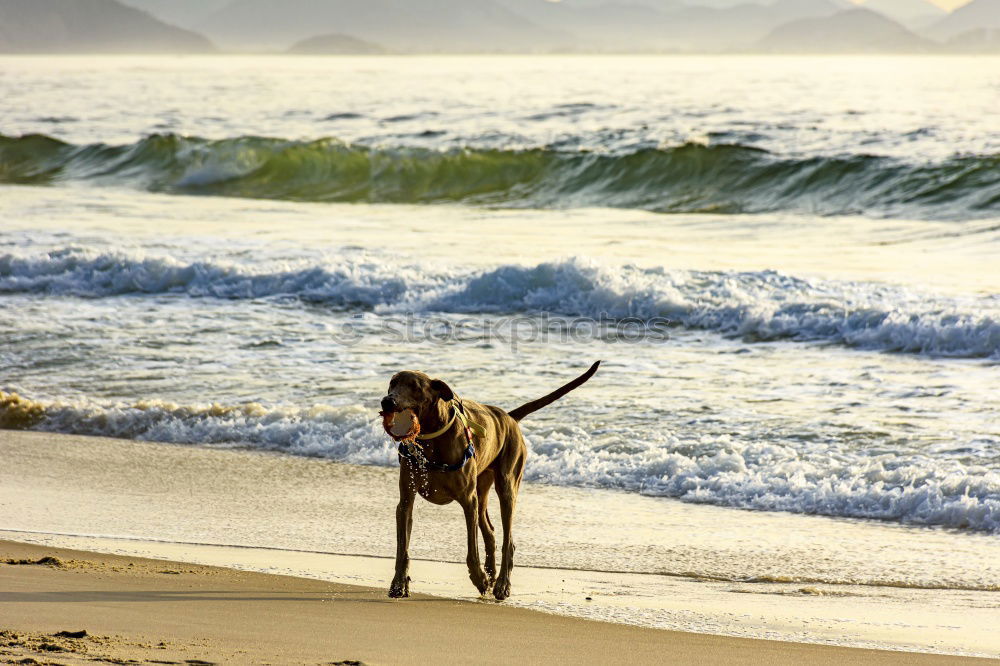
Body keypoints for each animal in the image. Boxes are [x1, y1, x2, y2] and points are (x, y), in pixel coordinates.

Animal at [380, 360, 600, 600]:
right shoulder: (406, 500)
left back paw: (502, 583)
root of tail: (509, 417)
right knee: (491, 531)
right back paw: (492, 572)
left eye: (415, 386)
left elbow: (471, 550)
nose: (387, 401)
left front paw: (479, 579)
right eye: (392, 383)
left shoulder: (468, 500)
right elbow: (403, 548)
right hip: (483, 486)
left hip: (507, 483)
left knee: (507, 540)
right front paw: (398, 583)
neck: (431, 439)